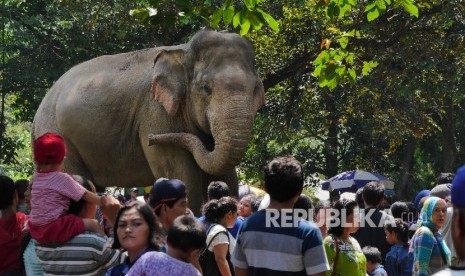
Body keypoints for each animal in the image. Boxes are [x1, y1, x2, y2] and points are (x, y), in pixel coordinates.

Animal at [31, 30, 264, 213]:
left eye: (255, 88)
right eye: (206, 88)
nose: (153, 139)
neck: (182, 52)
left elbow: (227, 176)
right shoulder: (156, 114)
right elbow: (182, 175)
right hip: (57, 134)